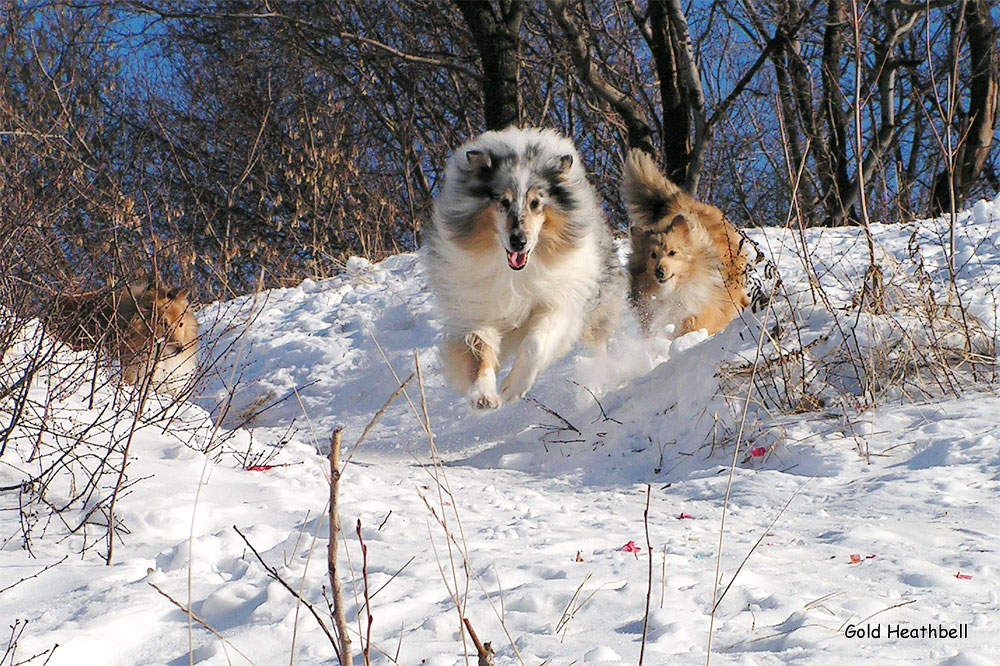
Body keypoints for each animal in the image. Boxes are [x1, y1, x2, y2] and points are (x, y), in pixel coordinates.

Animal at [424, 127, 624, 408]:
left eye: (535, 203)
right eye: (503, 202)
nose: (518, 241)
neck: (515, 274)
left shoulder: (558, 301)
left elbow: (536, 344)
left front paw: (513, 387)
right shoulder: (477, 308)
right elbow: (479, 351)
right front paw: (483, 395)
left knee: (597, 339)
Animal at [620, 151, 748, 338]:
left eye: (672, 252)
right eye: (652, 255)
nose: (659, 272)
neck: (672, 291)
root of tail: (680, 202)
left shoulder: (698, 309)